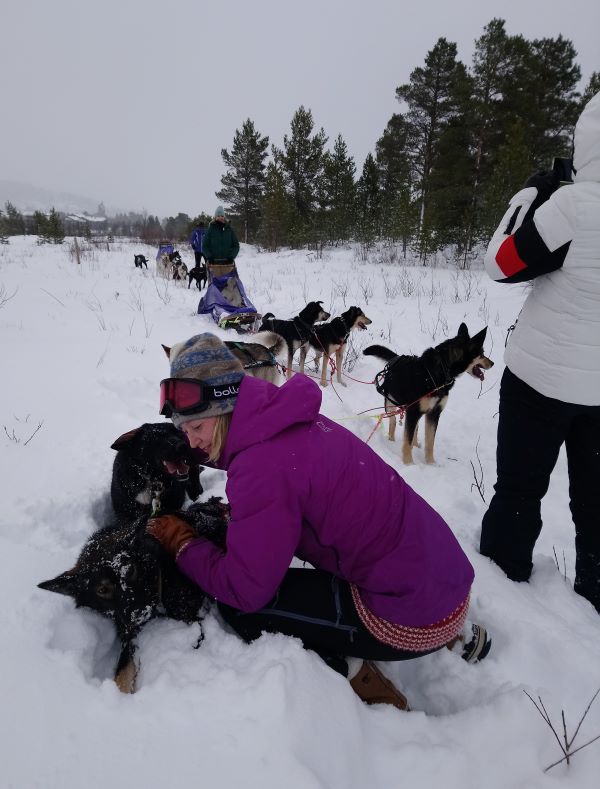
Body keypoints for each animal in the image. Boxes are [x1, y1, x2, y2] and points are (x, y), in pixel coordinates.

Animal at [364, 324, 494, 464]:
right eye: (482, 354)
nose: (492, 363)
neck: (437, 372)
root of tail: (396, 358)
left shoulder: (434, 413)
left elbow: (430, 442)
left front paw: (431, 463)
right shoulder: (413, 411)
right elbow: (407, 441)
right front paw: (409, 464)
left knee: (415, 429)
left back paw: (415, 444)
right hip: (391, 403)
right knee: (393, 422)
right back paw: (391, 442)